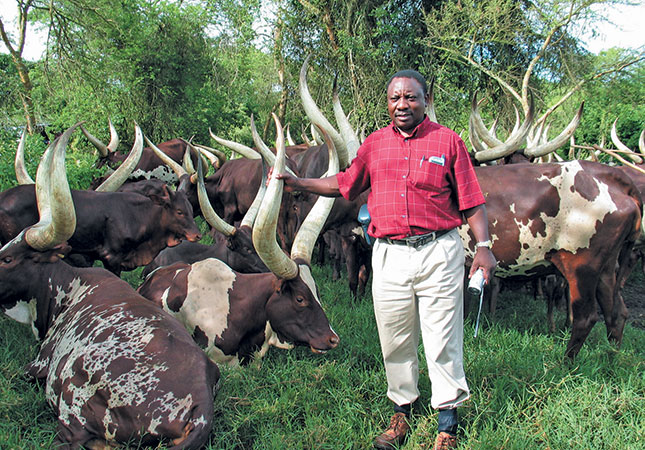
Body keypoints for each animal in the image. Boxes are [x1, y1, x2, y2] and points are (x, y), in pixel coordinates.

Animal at [0, 124, 219, 450]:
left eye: (8, 259)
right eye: (179, 211)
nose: (196, 234)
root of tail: (201, 408)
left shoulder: (38, 364)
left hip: (73, 400)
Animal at [460, 160, 640, 356]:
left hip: (582, 267)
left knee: (586, 317)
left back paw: (566, 362)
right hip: (606, 268)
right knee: (616, 314)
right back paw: (610, 358)